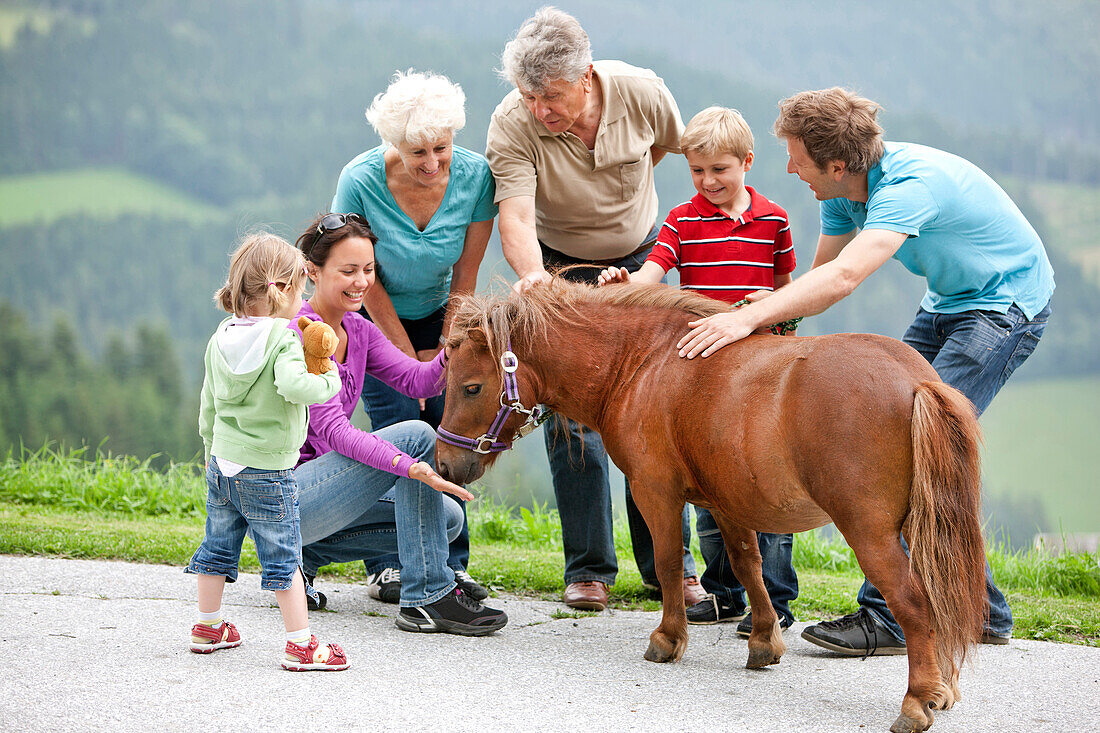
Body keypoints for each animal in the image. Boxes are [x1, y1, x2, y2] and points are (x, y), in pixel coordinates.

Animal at [437, 275, 990, 730]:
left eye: (471, 387)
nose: (443, 465)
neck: (644, 361)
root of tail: (918, 381)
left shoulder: (655, 491)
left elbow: (667, 563)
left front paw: (668, 638)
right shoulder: (727, 501)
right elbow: (748, 566)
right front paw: (764, 640)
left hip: (871, 533)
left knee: (917, 603)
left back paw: (917, 700)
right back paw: (941, 688)